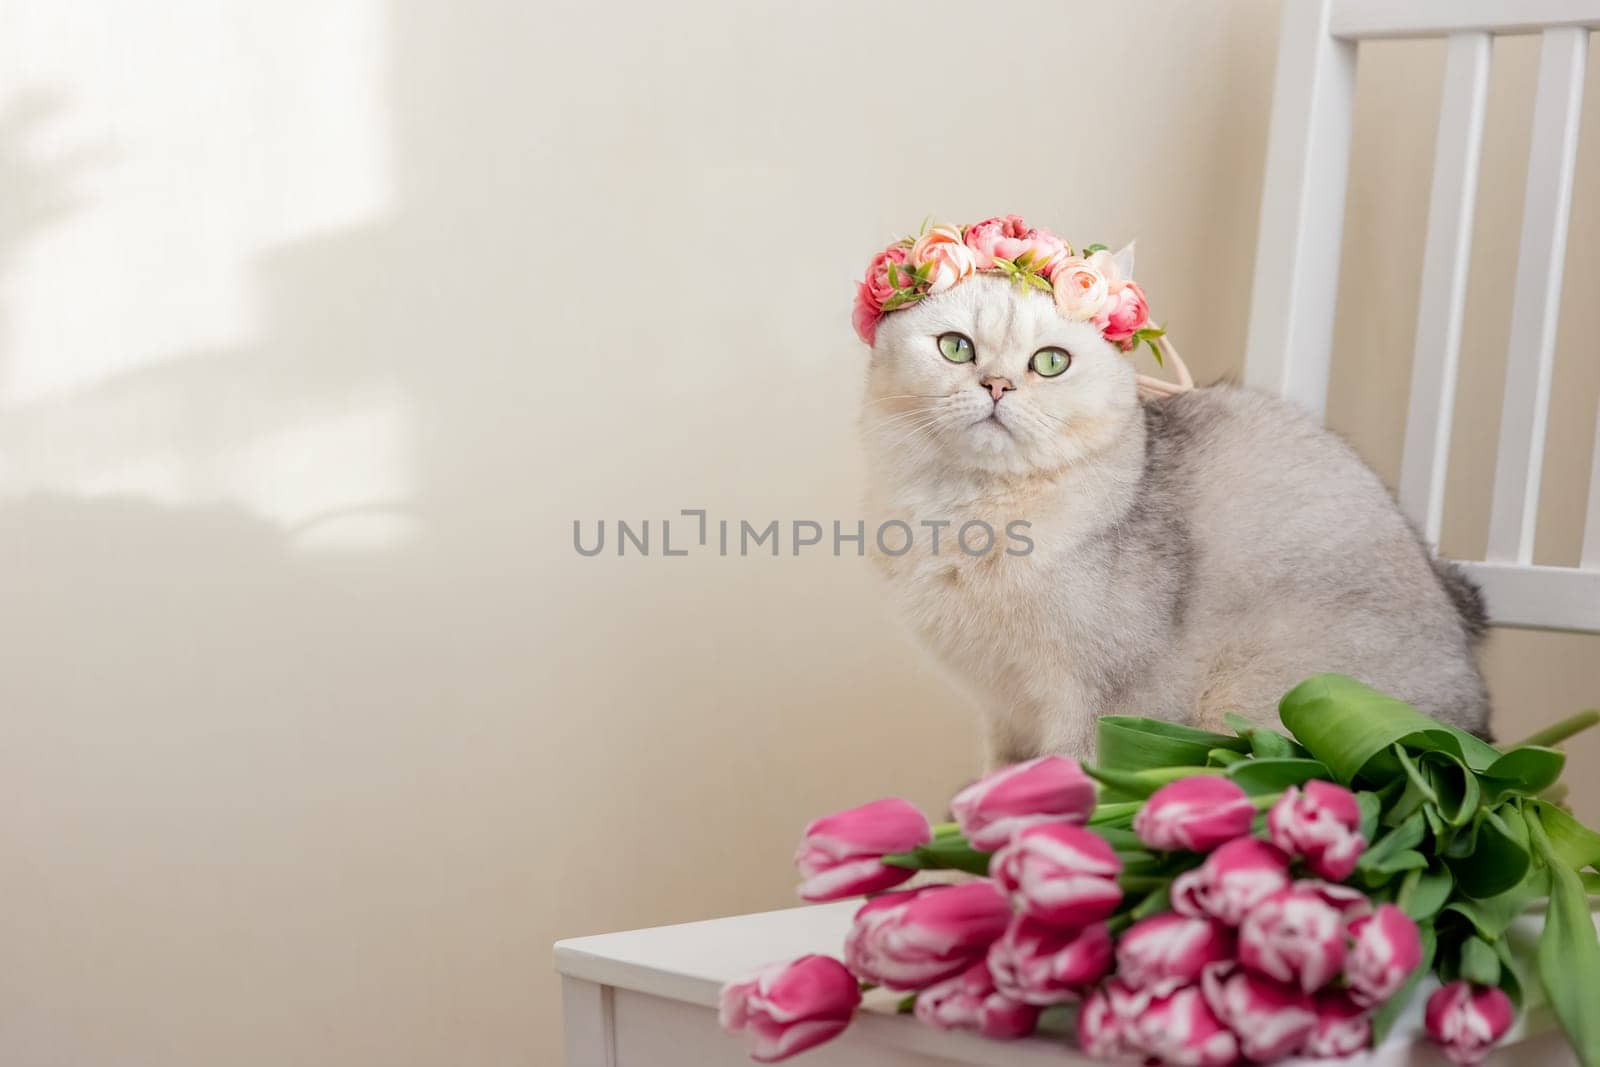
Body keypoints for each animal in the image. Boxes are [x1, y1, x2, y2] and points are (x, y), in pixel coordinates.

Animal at [864, 267, 1484, 767]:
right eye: (956, 348)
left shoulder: (1104, 701)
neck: (972, 515)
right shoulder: (1007, 713)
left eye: (1050, 362)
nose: (997, 385)